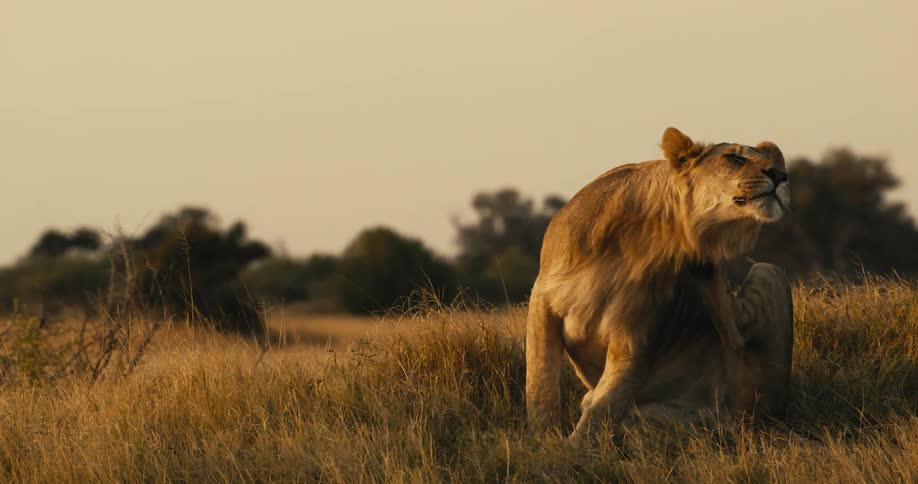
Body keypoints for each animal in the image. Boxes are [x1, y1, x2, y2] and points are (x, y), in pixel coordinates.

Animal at [526, 127, 793, 440]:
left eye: (776, 164)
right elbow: (540, 383)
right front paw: (543, 440)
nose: (780, 175)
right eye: (735, 158)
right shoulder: (542, 300)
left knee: (739, 346)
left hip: (768, 272)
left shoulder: (636, 333)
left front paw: (571, 447)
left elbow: (603, 406)